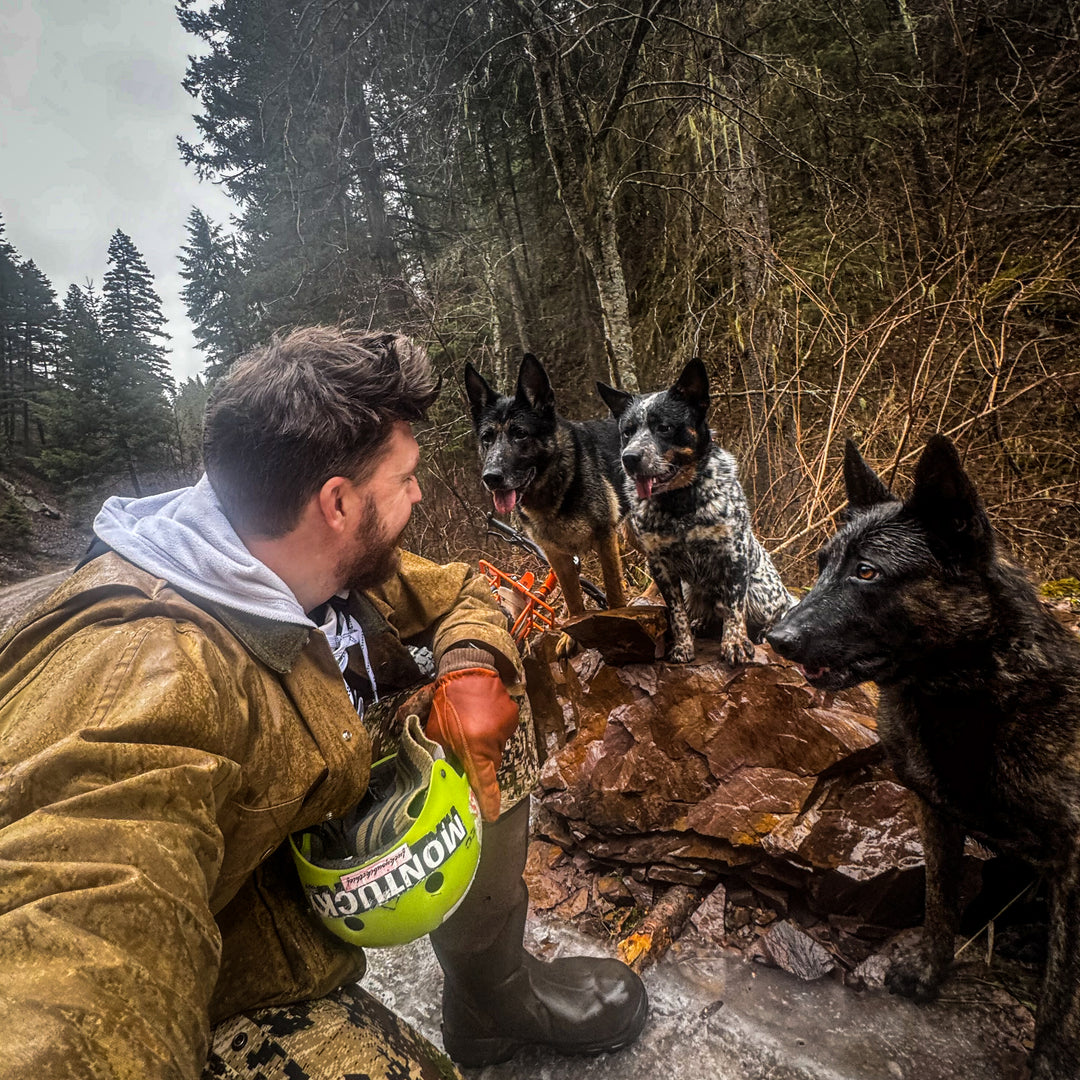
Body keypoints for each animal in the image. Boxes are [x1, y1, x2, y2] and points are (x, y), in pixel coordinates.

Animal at [464, 354, 630, 616]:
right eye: (486, 438)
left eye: (520, 433)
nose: (491, 478)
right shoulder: (556, 556)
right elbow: (574, 604)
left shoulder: (605, 539)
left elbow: (614, 595)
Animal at [597, 358, 794, 665]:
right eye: (627, 431)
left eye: (664, 427)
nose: (629, 458)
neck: (679, 505)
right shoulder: (661, 566)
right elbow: (676, 613)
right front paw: (683, 646)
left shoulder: (733, 555)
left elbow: (734, 608)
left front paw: (735, 643)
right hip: (692, 590)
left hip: (763, 592)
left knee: (777, 610)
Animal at [766, 435, 1080, 1080]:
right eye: (822, 564)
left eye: (866, 571)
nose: (775, 638)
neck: (963, 698)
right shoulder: (936, 813)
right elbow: (939, 903)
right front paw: (930, 972)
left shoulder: (1075, 857)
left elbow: (1062, 989)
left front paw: (1052, 1059)